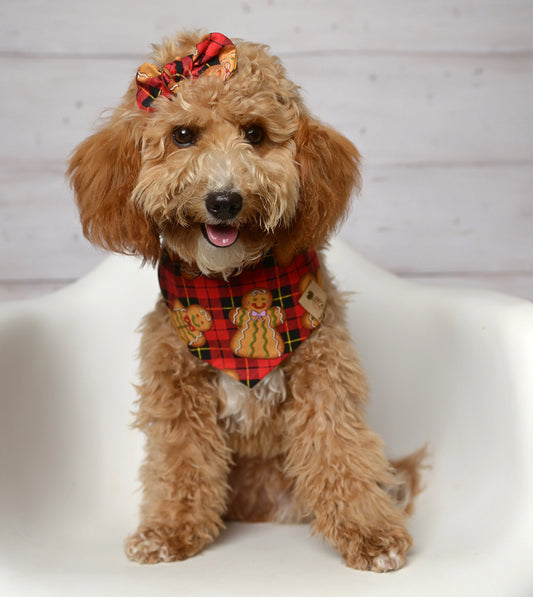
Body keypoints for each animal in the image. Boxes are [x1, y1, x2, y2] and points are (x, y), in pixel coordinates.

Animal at [67, 30, 424, 572]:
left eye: (254, 134)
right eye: (183, 135)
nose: (224, 200)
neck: (233, 283)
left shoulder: (324, 377)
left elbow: (338, 450)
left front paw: (369, 532)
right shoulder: (177, 388)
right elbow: (182, 461)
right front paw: (168, 531)